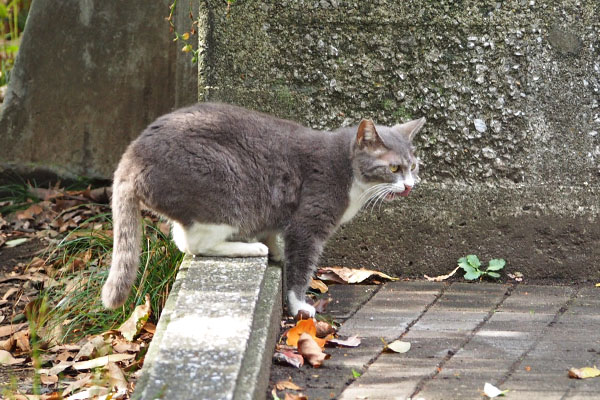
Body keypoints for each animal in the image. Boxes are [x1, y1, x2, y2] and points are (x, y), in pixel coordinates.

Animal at [101, 102, 424, 316]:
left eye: (414, 166)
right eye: (394, 168)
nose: (409, 185)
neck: (348, 170)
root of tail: (131, 156)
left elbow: (277, 236)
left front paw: (279, 252)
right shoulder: (309, 221)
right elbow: (301, 266)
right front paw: (299, 304)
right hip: (227, 188)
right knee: (192, 243)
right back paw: (250, 248)